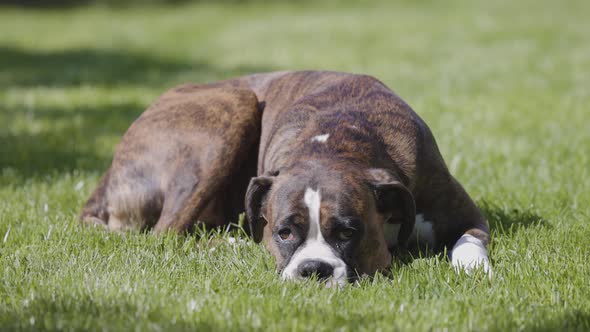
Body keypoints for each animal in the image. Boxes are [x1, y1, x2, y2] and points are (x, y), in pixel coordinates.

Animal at [81, 70, 492, 286]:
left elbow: (469, 242)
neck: (340, 141)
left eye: (348, 232)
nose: (313, 269)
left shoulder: (465, 216)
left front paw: (475, 270)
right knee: (166, 233)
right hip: (233, 109)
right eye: (284, 233)